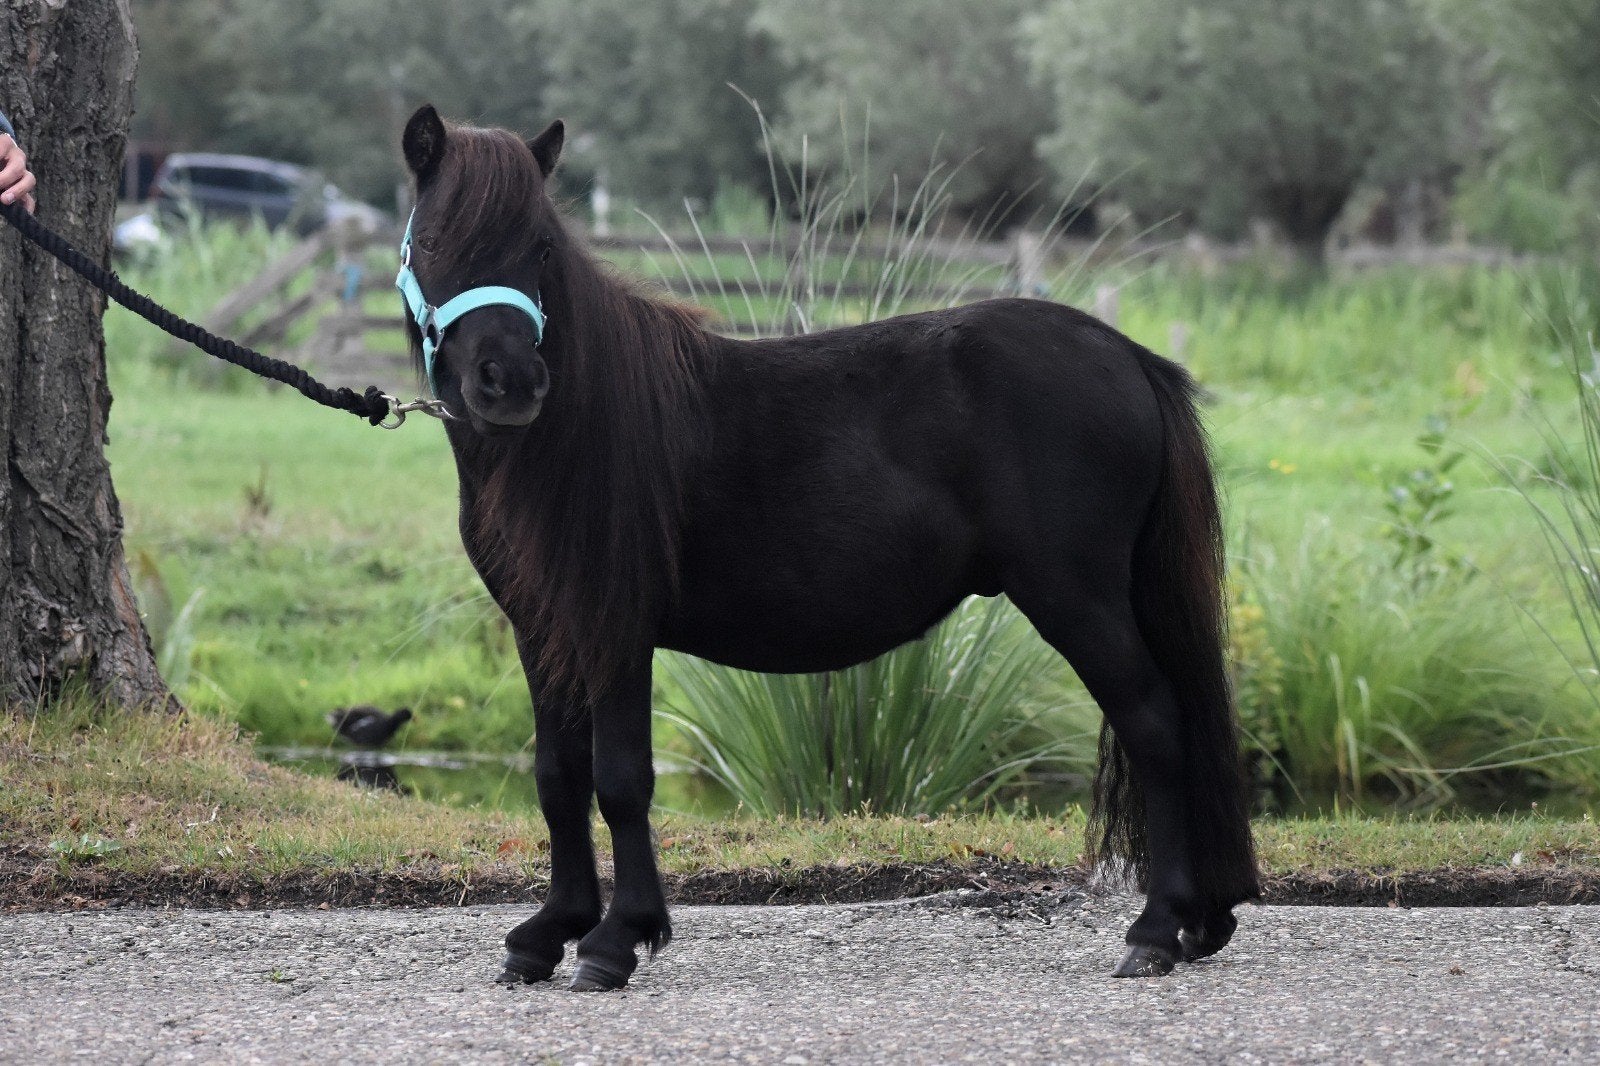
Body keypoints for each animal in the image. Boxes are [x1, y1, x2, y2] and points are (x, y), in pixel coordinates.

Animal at [396, 104, 1259, 991]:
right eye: (431, 240)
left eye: (540, 246)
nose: (510, 383)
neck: (563, 438)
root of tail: (1129, 356)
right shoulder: (545, 631)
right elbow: (557, 777)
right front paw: (548, 933)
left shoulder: (617, 631)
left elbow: (622, 780)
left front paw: (614, 940)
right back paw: (1198, 921)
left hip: (1078, 600)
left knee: (1156, 724)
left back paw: (1156, 930)